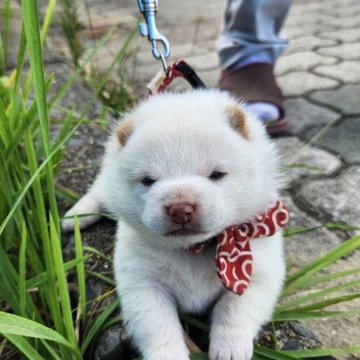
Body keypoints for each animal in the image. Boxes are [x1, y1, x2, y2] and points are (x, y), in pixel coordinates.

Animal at [62, 88, 286, 358]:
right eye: (148, 180)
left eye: (216, 174)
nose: (180, 208)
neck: (194, 248)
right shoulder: (142, 282)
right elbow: (158, 325)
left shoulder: (260, 272)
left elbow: (235, 310)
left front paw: (229, 348)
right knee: (98, 189)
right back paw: (75, 216)